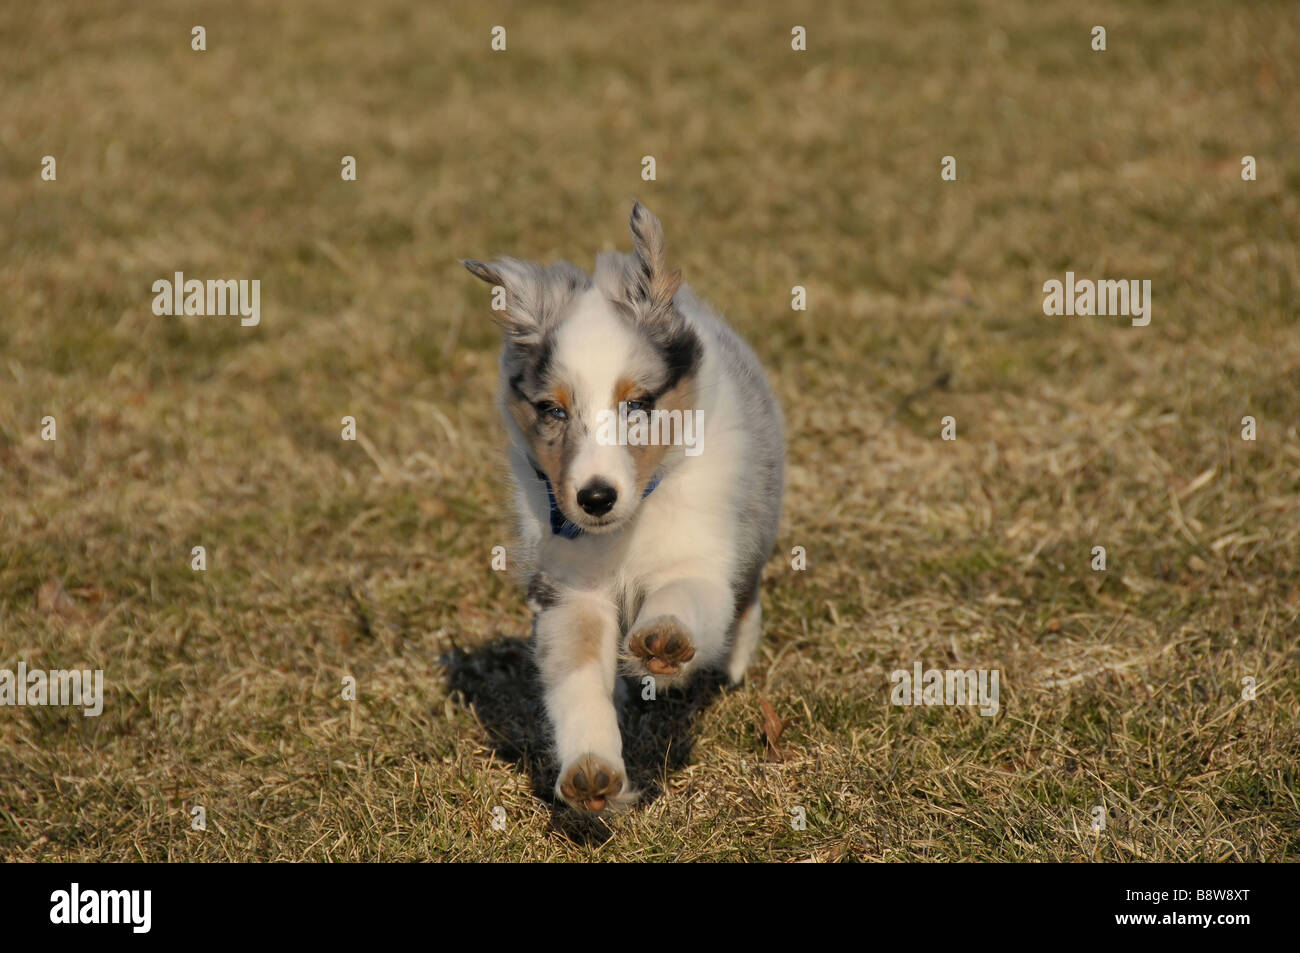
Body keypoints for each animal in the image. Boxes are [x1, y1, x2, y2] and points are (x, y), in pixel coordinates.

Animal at [462, 200, 780, 811]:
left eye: (637, 404)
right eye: (553, 410)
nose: (594, 498)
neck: (631, 521)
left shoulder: (700, 554)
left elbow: (684, 597)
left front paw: (663, 643)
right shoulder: (570, 588)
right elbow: (577, 677)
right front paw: (591, 769)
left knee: (747, 594)